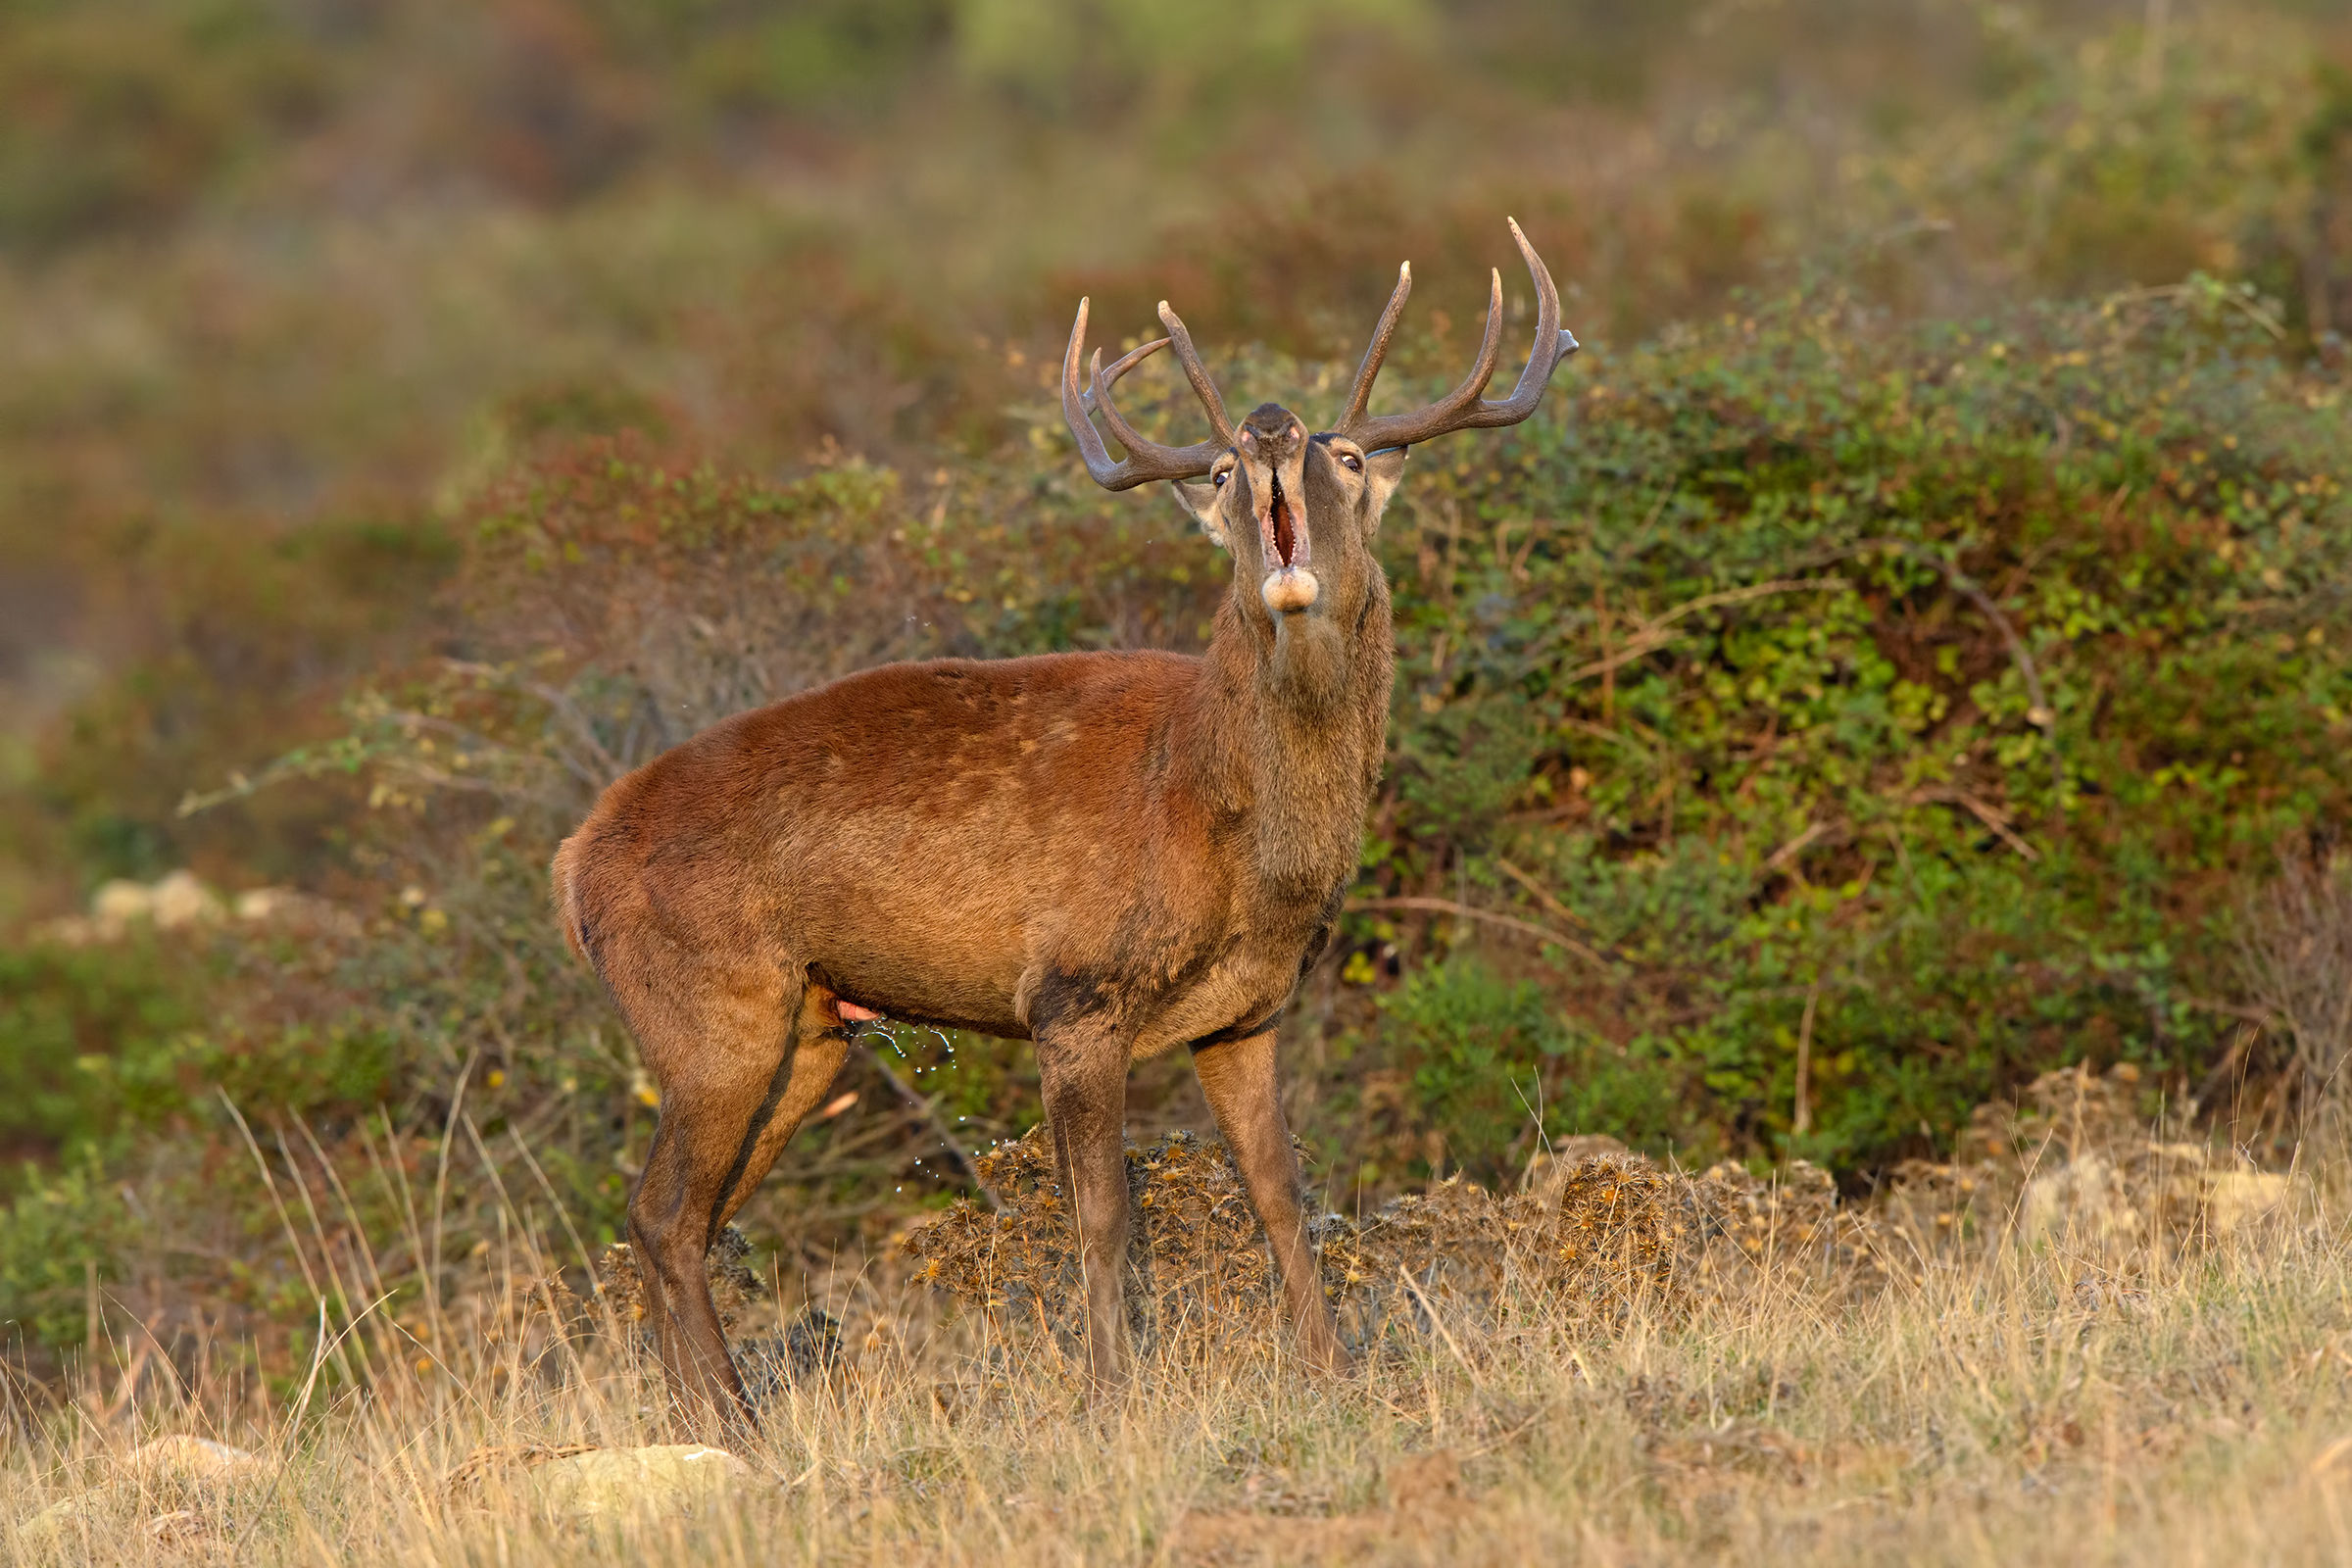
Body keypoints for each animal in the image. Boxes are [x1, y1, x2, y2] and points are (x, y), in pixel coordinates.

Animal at [550, 218, 1578, 1429]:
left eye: (1354, 457)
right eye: (1221, 472)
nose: (1270, 425)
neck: (1231, 832)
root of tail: (573, 861)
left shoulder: (1248, 1014)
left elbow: (1280, 1192)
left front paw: (1334, 1370)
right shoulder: (1073, 992)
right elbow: (1101, 1215)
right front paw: (1110, 1395)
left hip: (805, 1028)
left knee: (685, 1220)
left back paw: (712, 1417)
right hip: (709, 1009)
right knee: (664, 1211)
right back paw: (734, 1424)